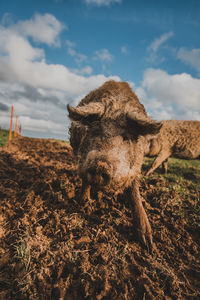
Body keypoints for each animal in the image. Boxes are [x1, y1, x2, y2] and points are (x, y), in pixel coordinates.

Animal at [67, 80, 162, 251]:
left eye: (126, 137)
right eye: (95, 131)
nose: (100, 165)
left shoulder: (137, 165)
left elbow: (134, 192)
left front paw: (148, 245)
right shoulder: (81, 159)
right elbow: (85, 181)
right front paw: (84, 204)